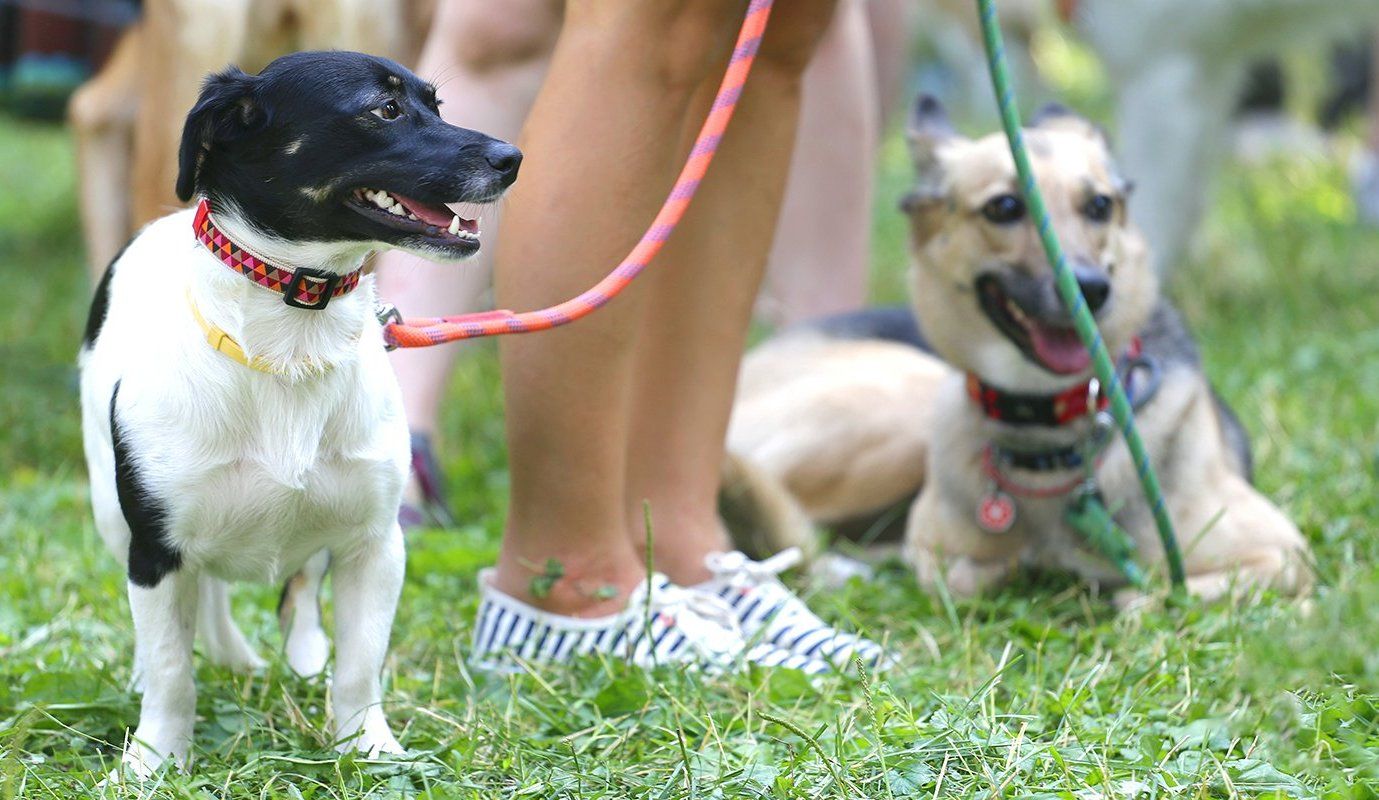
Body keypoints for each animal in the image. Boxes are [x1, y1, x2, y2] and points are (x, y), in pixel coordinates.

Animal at [82, 50, 521, 772]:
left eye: (437, 103)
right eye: (384, 109)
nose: (512, 156)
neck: (290, 342)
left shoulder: (376, 543)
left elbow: (360, 666)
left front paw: (369, 747)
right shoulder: (157, 546)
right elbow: (173, 667)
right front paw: (155, 759)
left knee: (298, 589)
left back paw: (295, 653)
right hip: (113, 511)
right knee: (195, 603)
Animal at [728, 95, 1307, 606]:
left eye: (1100, 205)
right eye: (1004, 207)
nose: (1091, 290)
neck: (1049, 426)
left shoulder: (1285, 553)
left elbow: (1164, 593)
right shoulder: (933, 549)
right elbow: (959, 577)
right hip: (903, 407)